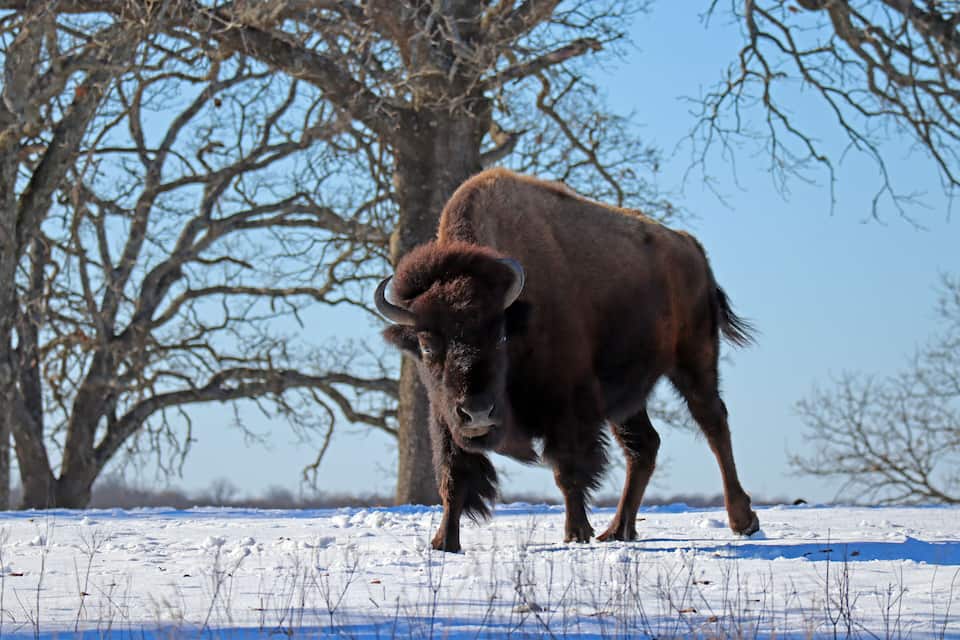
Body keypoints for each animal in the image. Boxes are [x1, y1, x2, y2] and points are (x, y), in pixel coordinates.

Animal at [375, 168, 759, 552]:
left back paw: (742, 520)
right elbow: (454, 475)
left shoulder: (568, 407)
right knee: (644, 447)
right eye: (426, 345)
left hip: (694, 360)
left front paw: (576, 532)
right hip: (626, 398)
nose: (478, 413)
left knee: (713, 423)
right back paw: (617, 529)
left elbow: (567, 471)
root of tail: (691, 247)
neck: (519, 315)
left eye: (500, 335)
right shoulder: (445, 418)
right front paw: (444, 542)